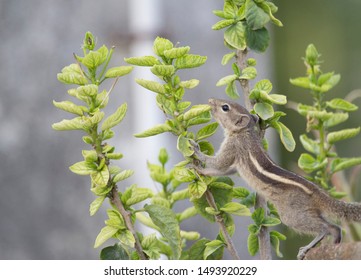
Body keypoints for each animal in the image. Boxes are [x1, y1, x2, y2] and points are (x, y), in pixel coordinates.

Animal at [193, 99, 360, 260]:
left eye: (225, 107)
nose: (210, 101)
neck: (244, 132)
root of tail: (320, 194)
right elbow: (226, 170)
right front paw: (201, 169)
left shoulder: (232, 147)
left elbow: (219, 163)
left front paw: (196, 155)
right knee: (335, 228)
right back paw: (335, 243)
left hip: (292, 215)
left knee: (326, 228)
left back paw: (307, 248)